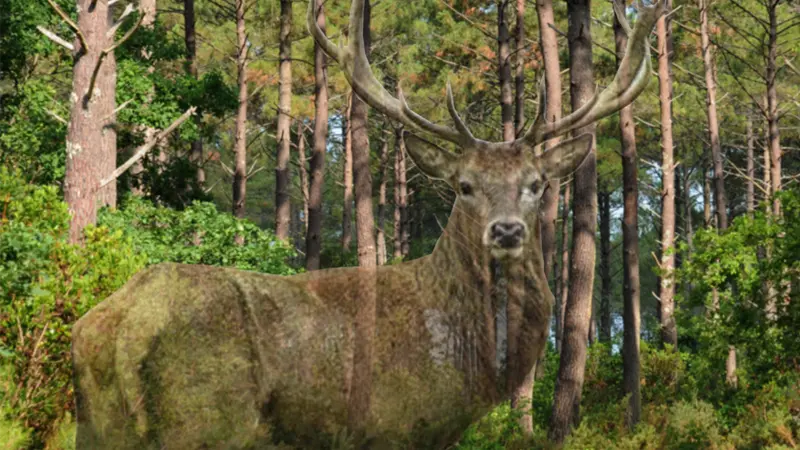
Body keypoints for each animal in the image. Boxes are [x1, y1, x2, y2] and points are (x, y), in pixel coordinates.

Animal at [71, 1, 664, 448]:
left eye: (537, 184)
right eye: (464, 185)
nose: (507, 231)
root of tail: (119, 329)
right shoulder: (395, 425)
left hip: (99, 425)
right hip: (205, 418)